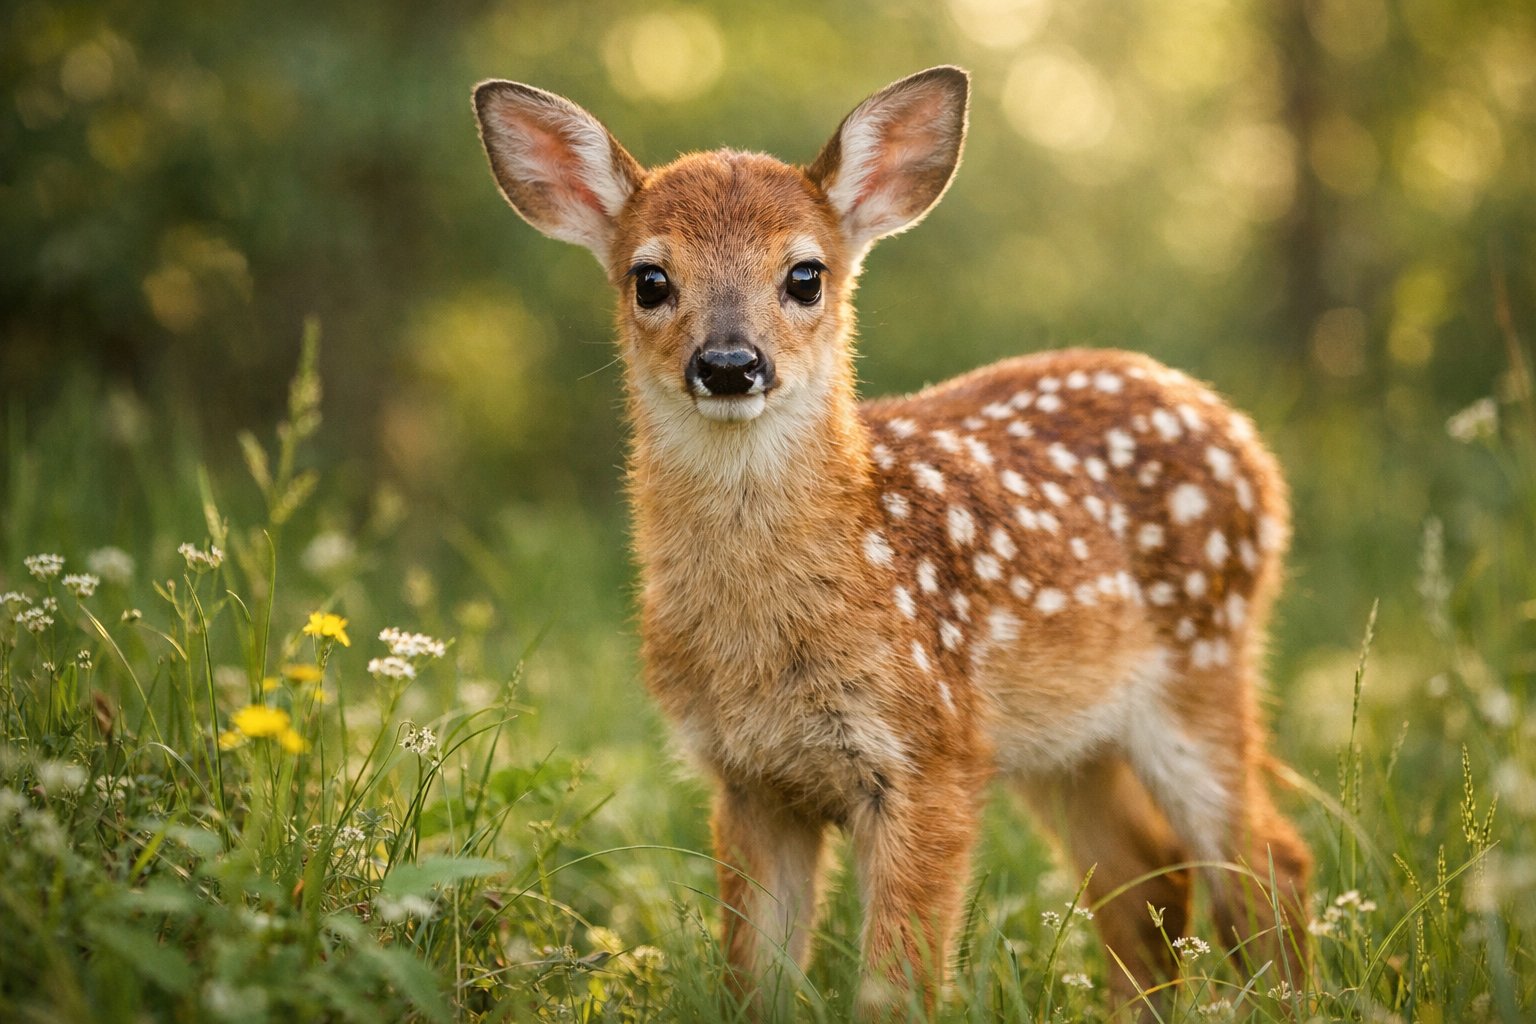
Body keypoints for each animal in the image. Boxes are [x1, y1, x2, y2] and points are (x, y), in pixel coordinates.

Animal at [473, 66, 1312, 1019]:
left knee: (1269, 861)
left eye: (806, 275)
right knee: (1150, 876)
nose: (728, 364)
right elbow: (755, 985)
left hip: (1202, 666)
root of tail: (1241, 433)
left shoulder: (930, 751)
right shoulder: (746, 776)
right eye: (649, 278)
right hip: (1063, 738)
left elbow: (895, 990)